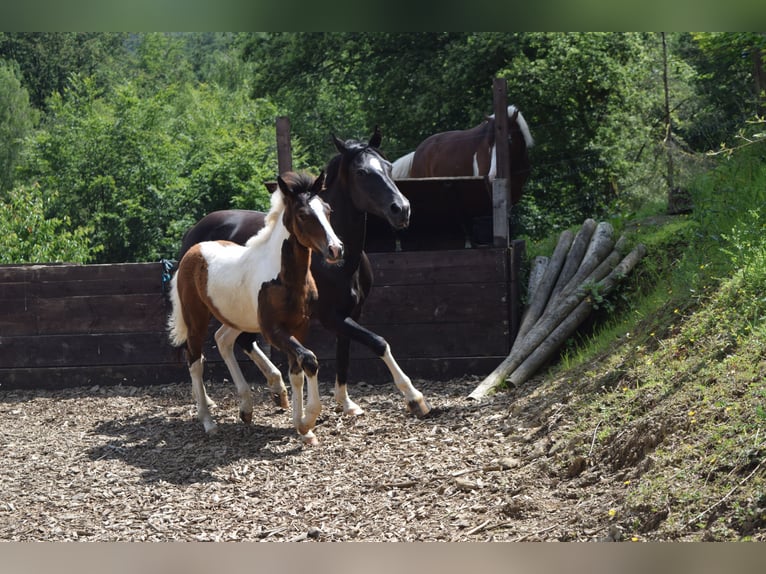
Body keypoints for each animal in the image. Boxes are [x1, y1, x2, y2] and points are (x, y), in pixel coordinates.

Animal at [172, 171, 348, 446]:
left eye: (328, 210)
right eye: (302, 214)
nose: (335, 249)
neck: (283, 277)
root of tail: (193, 249)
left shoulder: (299, 326)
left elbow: (296, 371)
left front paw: (302, 428)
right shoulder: (273, 330)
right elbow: (309, 360)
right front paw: (308, 420)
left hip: (236, 317)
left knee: (222, 340)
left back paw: (246, 408)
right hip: (196, 318)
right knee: (195, 359)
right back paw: (209, 422)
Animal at [177, 129, 436, 418]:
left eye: (389, 167)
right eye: (361, 172)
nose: (401, 209)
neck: (338, 264)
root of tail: (196, 232)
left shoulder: (351, 312)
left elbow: (345, 352)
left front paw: (346, 403)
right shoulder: (330, 316)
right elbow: (378, 342)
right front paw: (415, 398)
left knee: (227, 339)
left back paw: (273, 390)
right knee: (212, 345)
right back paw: (214, 401)